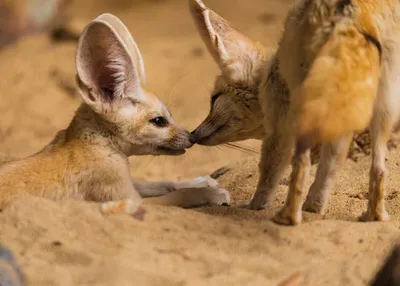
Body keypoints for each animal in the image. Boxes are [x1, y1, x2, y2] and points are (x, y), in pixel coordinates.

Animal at [0, 12, 230, 216]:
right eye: (158, 121)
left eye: (170, 115)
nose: (192, 137)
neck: (96, 144)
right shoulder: (127, 198)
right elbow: (178, 196)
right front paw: (208, 193)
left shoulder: (129, 183)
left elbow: (162, 183)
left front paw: (199, 181)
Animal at [188, 0, 400, 225]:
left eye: (214, 98)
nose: (192, 135)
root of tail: (352, 11)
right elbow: (329, 168)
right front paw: (313, 208)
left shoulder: (280, 121)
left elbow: (269, 172)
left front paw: (254, 206)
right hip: (384, 104)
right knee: (378, 169)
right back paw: (374, 216)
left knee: (301, 164)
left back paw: (286, 218)